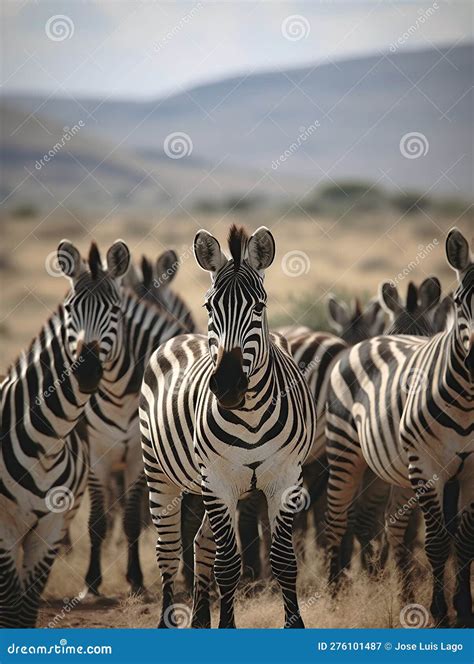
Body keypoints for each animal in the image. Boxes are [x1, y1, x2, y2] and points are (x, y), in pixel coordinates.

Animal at [0, 240, 130, 628]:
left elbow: (25, 610)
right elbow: (11, 609)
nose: (86, 371)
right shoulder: (5, 531)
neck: (45, 445)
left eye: (115, 309)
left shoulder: (50, 529)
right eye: (70, 309)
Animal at [139, 226, 316, 624]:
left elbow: (284, 562)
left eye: (259, 308)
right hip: (160, 474)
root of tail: (179, 336)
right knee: (168, 551)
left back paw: (201, 621)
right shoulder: (218, 481)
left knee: (200, 543)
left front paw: (294, 624)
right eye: (210, 307)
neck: (249, 416)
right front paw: (227, 626)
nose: (229, 385)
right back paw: (167, 620)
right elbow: (228, 565)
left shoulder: (287, 479)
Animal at [326, 228, 474, 628]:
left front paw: (463, 608)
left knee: (392, 526)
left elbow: (463, 538)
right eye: (459, 302)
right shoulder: (429, 469)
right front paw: (440, 613)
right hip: (345, 455)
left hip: (394, 470)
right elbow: (437, 541)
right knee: (337, 520)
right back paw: (334, 597)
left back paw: (404, 596)